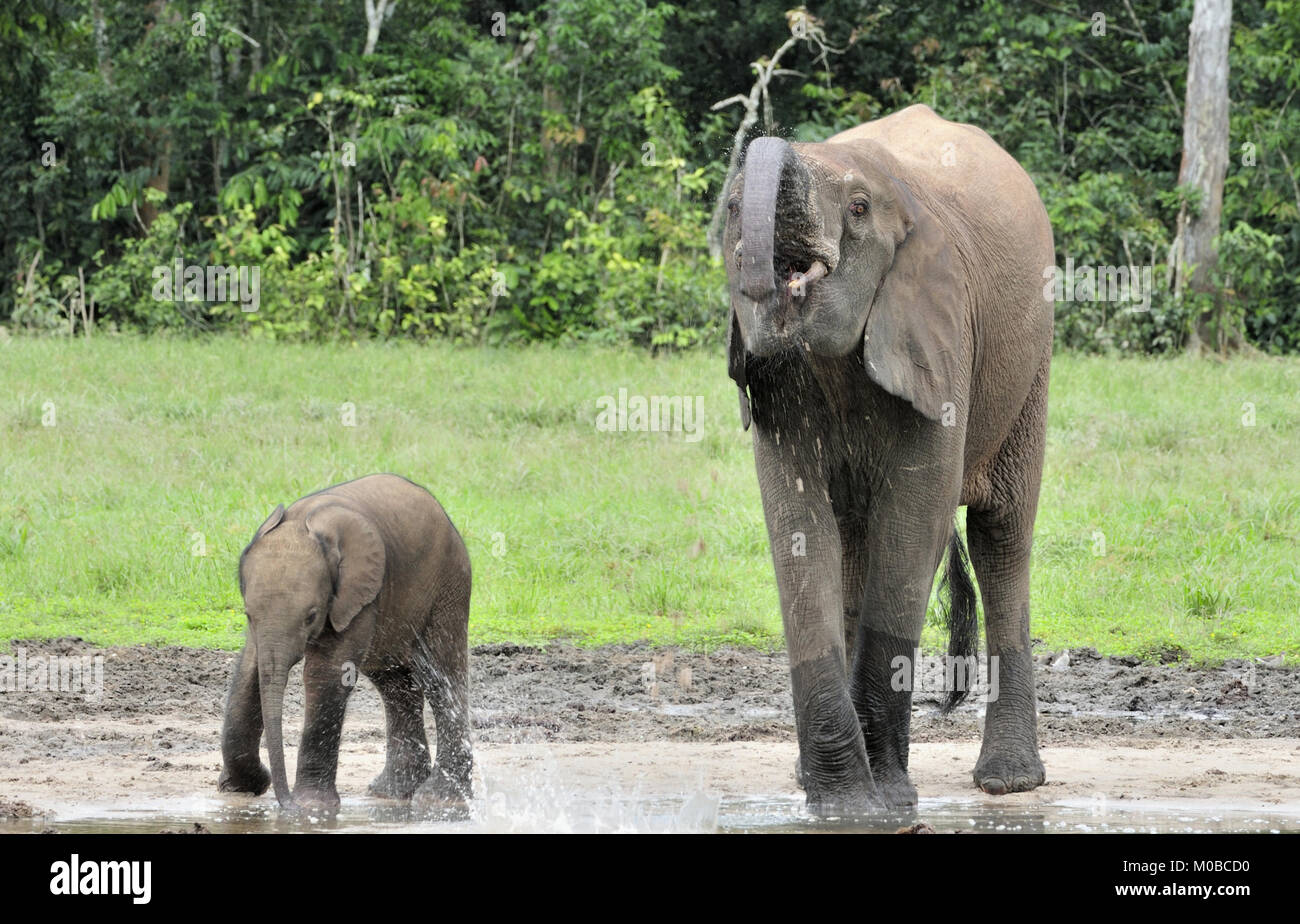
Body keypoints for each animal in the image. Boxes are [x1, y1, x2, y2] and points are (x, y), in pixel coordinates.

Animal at [217, 473, 473, 814]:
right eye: (247, 613)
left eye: (311, 616)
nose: (284, 803)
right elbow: (249, 670)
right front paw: (243, 787)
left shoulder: (357, 594)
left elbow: (325, 672)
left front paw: (311, 808)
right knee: (394, 684)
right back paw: (391, 792)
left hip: (448, 585)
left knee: (440, 679)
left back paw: (440, 799)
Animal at [724, 104, 1052, 814]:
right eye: (731, 209)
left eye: (857, 208)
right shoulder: (777, 382)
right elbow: (799, 531)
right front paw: (843, 804)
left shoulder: (943, 334)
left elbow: (911, 527)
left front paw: (888, 802)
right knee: (854, 547)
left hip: (1030, 364)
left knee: (1002, 536)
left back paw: (1009, 782)